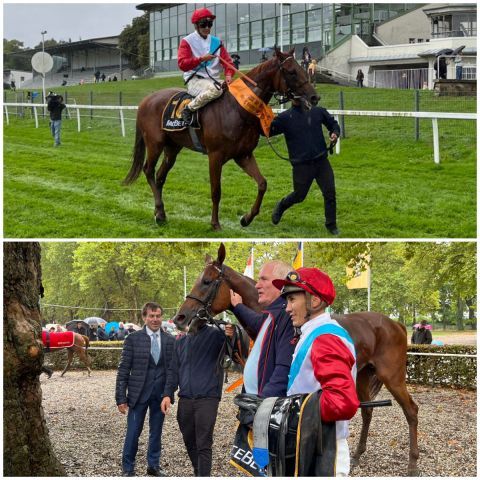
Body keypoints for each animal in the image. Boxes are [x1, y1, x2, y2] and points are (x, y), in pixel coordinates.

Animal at [124, 47, 318, 232]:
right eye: (291, 71)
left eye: (302, 68)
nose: (314, 97)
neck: (238, 109)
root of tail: (146, 100)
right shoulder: (215, 156)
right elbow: (216, 191)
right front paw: (215, 223)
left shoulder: (243, 155)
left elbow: (262, 183)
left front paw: (247, 218)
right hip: (155, 144)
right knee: (148, 170)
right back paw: (159, 210)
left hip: (172, 148)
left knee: (160, 176)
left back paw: (161, 213)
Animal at [174, 246, 418, 478]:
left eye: (206, 281)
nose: (180, 319)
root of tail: (395, 324)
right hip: (364, 376)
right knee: (367, 412)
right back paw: (357, 455)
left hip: (392, 376)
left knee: (411, 410)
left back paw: (413, 464)